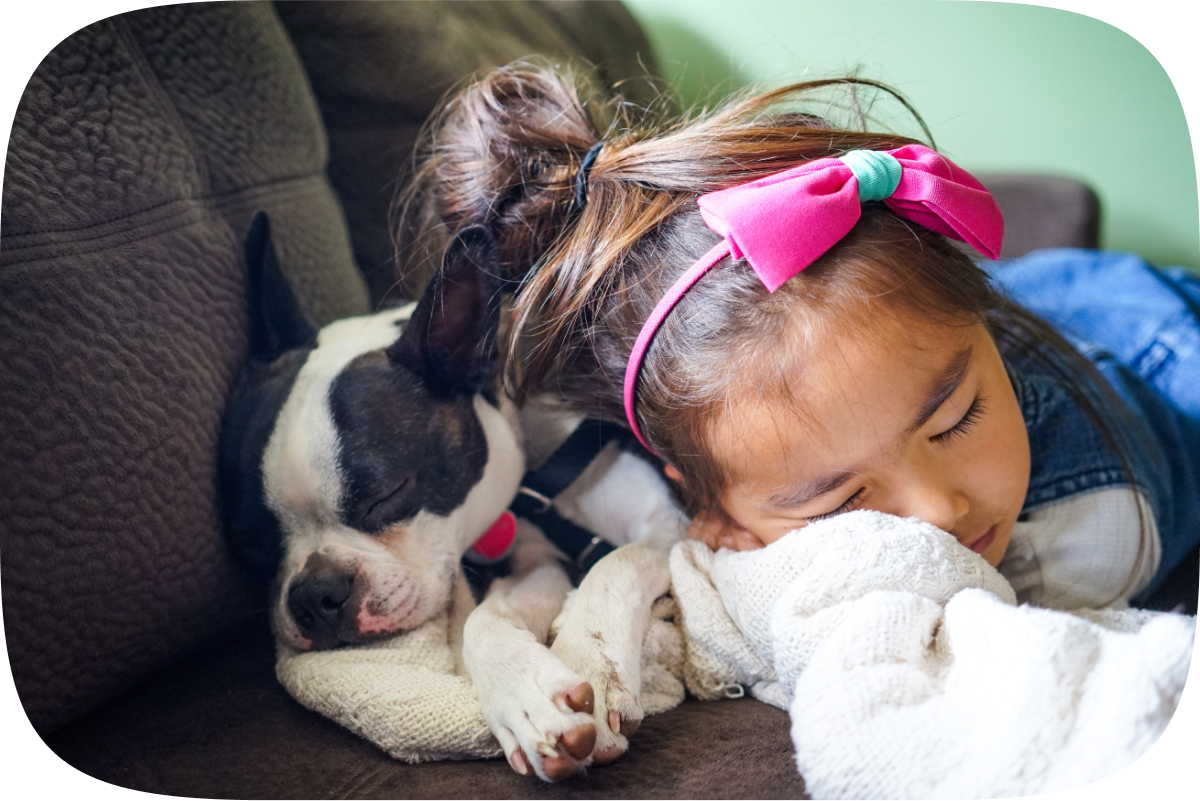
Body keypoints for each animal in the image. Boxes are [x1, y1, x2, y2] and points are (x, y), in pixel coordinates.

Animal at [217, 214, 686, 781]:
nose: (313, 595)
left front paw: (591, 659)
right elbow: (485, 619)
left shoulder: (671, 521)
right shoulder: (533, 559)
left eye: (385, 496)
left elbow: (616, 565)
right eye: (251, 546)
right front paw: (526, 698)